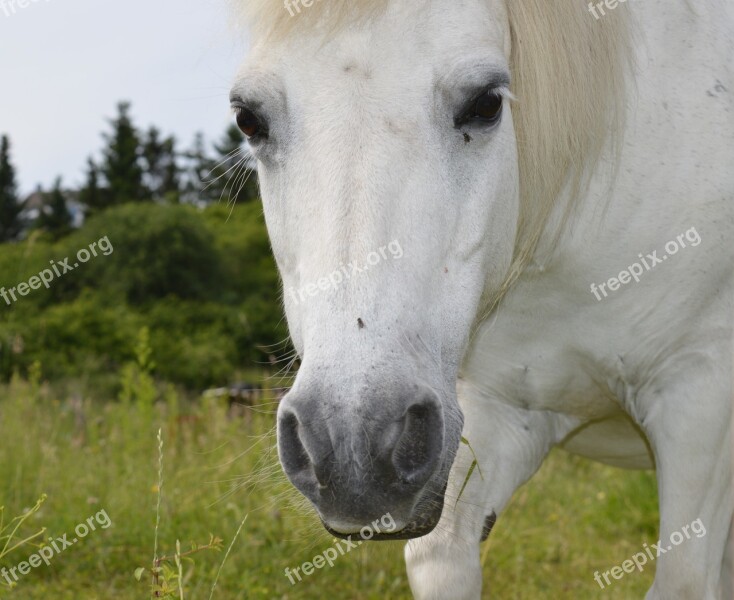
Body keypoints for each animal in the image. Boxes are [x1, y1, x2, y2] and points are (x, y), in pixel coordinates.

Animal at [231, 0, 734, 596]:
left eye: (487, 103)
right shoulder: (499, 415)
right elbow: (443, 550)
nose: (354, 448)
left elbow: (684, 579)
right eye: (249, 119)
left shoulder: (700, 400)